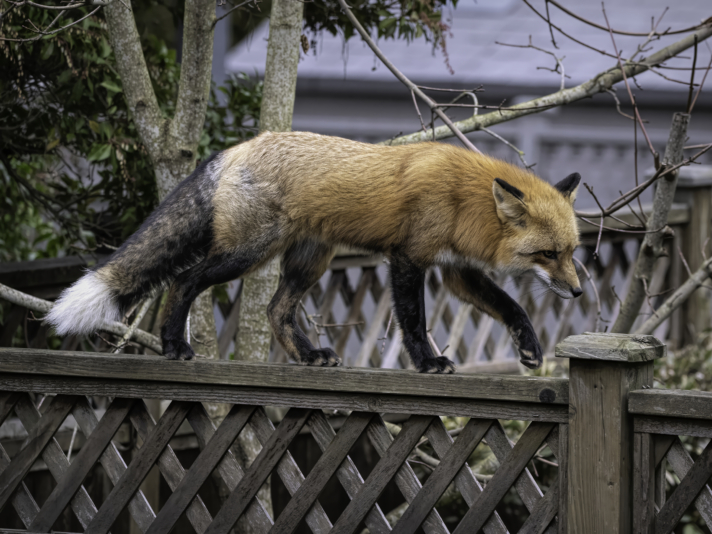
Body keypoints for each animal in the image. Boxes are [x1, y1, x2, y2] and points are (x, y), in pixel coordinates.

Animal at [46, 131, 582, 372]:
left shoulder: (457, 271)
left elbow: (512, 308)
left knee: (275, 310)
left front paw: (531, 348)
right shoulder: (407, 258)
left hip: (310, 262)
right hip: (247, 253)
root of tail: (239, 147)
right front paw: (428, 364)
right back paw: (175, 345)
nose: (579, 292)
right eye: (548, 254)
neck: (463, 201)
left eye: (573, 251)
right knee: (184, 279)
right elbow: (414, 322)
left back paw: (308, 355)